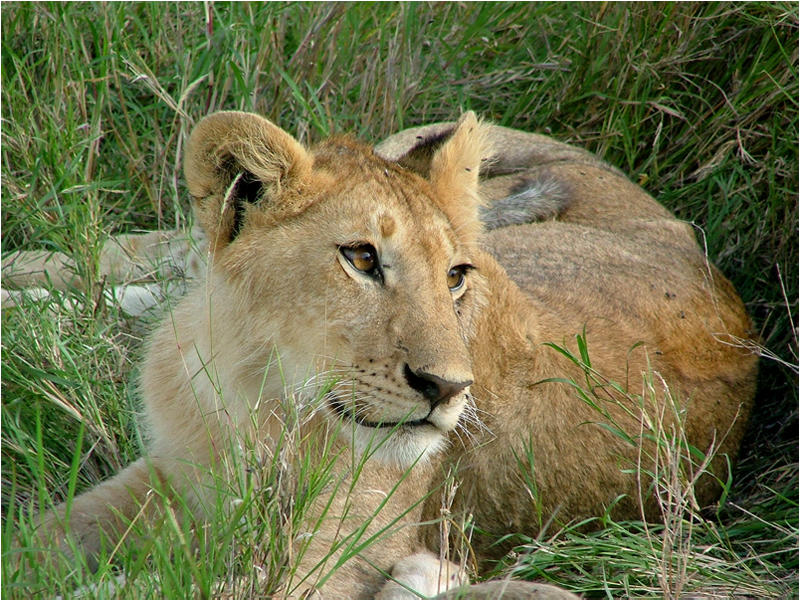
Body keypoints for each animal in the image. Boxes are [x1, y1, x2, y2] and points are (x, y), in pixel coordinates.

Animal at [9, 111, 752, 596]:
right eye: (362, 257)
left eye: (456, 275)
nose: (447, 388)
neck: (257, 390)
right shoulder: (170, 472)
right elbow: (41, 537)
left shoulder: (336, 557)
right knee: (143, 250)